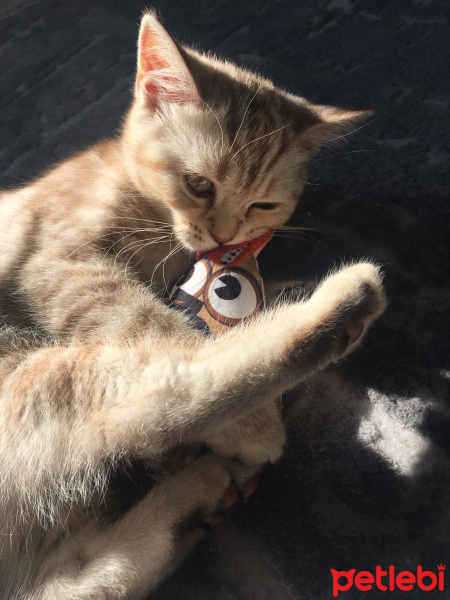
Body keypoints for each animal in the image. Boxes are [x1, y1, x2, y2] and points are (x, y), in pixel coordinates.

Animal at [0, 10, 386, 600]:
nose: (223, 233)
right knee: (151, 394)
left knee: (80, 578)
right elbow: (145, 318)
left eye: (263, 204)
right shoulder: (57, 260)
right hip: (29, 375)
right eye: (199, 183)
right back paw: (332, 320)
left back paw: (201, 494)